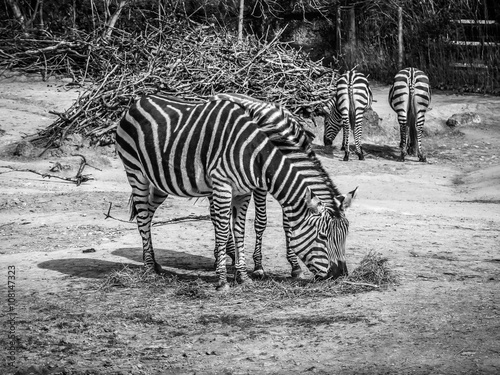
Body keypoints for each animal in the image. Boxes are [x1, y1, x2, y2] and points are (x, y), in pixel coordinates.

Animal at [116, 93, 360, 290]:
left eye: (346, 234)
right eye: (323, 236)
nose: (340, 276)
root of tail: (140, 100)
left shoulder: (247, 190)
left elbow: (251, 228)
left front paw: (281, 267)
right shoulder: (248, 186)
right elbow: (255, 223)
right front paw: (248, 271)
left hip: (161, 181)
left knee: (149, 213)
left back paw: (158, 261)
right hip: (136, 172)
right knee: (144, 216)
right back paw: (151, 267)